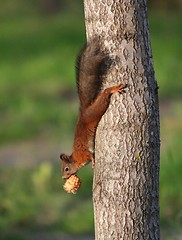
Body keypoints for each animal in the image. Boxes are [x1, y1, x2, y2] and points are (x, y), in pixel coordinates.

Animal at [59, 39, 126, 180]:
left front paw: (94, 162)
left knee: (104, 95)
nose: (63, 178)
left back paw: (112, 89)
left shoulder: (83, 154)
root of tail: (83, 112)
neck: (75, 159)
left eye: (66, 169)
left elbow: (90, 155)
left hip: (96, 111)